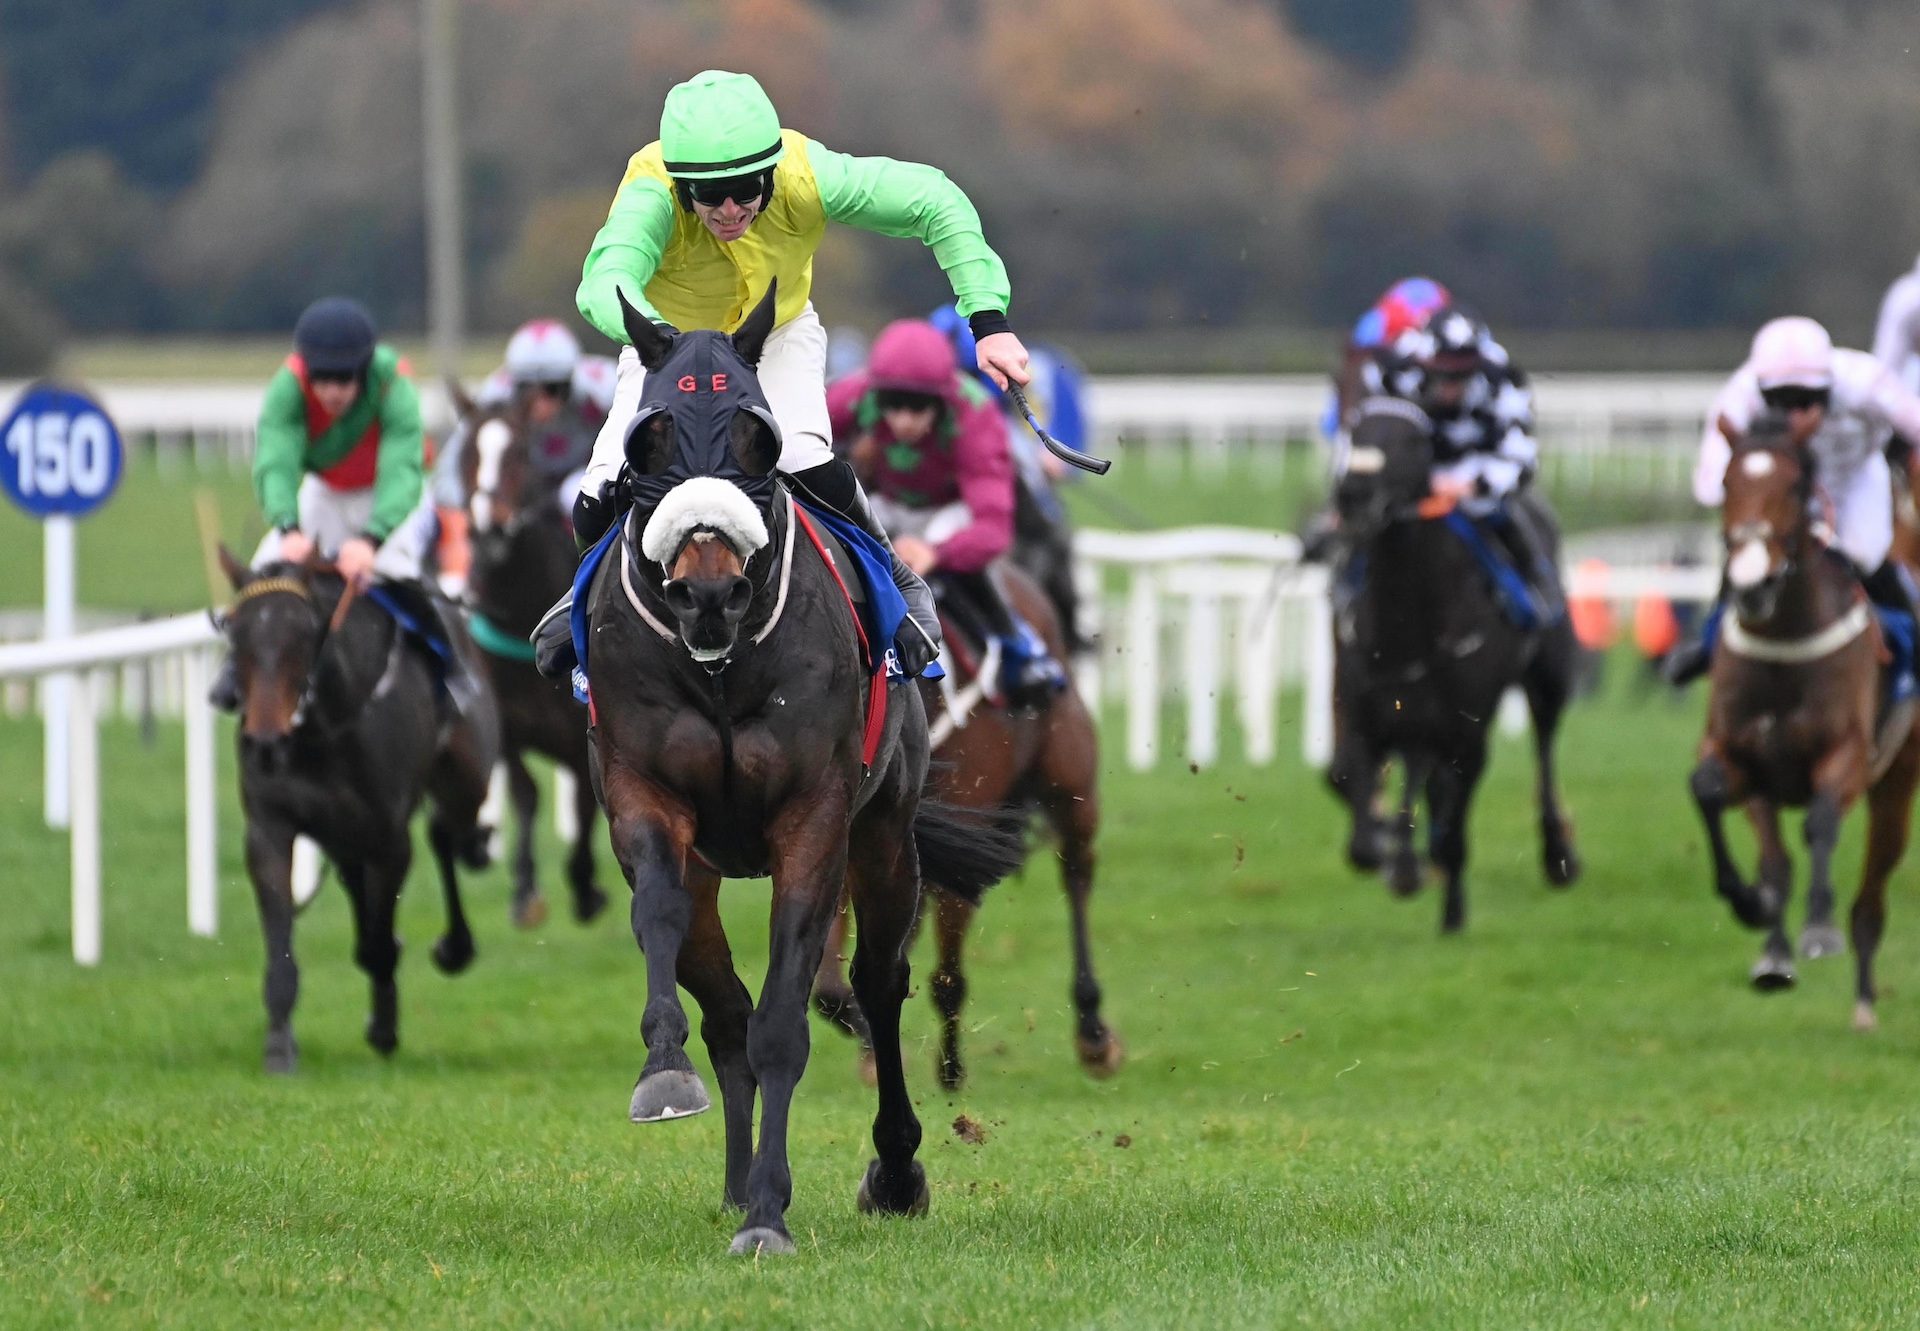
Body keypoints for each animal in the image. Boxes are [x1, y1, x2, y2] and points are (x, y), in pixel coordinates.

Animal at [215, 549, 499, 1067]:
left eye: (304, 635)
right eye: (235, 632)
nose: (264, 743)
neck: (321, 729)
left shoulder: (390, 840)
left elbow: (379, 942)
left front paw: (384, 1027)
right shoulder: (269, 827)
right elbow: (283, 946)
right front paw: (280, 1045)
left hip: (465, 778)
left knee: (449, 834)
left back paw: (455, 945)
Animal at [451, 384, 606, 925]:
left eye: (519, 451)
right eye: (466, 453)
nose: (488, 532)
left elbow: (584, 801)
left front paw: (585, 885)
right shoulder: (508, 726)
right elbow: (525, 793)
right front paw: (524, 889)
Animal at [583, 286, 1029, 1252]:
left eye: (759, 439)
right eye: (647, 442)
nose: (708, 594)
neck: (720, 667)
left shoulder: (814, 820)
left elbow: (790, 1019)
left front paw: (769, 1214)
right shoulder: (645, 799)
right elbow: (662, 922)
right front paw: (664, 1074)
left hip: (887, 835)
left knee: (877, 984)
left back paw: (893, 1170)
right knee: (724, 1006)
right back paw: (732, 1169)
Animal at [814, 560, 1121, 1090]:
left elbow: (947, 973)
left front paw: (950, 1067)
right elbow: (830, 989)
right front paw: (872, 1040)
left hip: (1072, 782)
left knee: (1077, 873)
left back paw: (1094, 1034)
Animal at [1328, 399, 1582, 929]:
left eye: (1412, 441)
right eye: (1356, 430)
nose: (1354, 494)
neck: (1406, 629)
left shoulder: (1468, 728)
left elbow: (1454, 824)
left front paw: (1450, 906)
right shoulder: (1365, 710)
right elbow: (1362, 837)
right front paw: (1397, 856)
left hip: (1548, 679)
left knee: (1544, 750)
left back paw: (1557, 856)